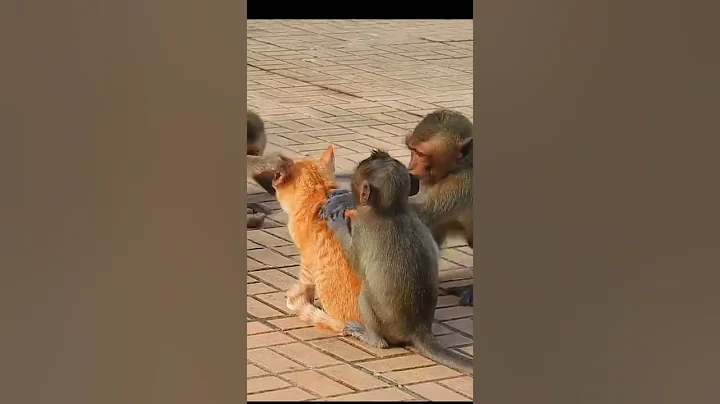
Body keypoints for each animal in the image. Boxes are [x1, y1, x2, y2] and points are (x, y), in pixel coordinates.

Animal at [319, 150, 474, 375]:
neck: (392, 209)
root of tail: (418, 328)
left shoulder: (362, 226)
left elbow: (357, 264)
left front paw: (338, 222)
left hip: (385, 321)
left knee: (366, 294)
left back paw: (371, 338)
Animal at [322, 109, 475, 305]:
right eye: (413, 151)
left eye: (421, 154)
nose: (411, 168)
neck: (461, 166)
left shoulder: (462, 184)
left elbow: (420, 215)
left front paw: (347, 199)